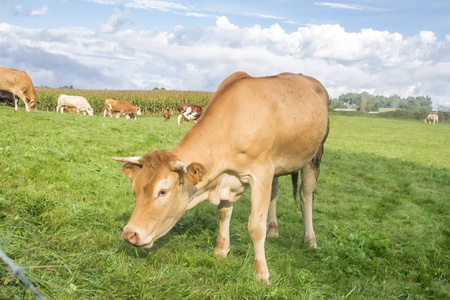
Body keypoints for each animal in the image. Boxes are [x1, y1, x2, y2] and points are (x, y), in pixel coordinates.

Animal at [113, 71, 330, 284]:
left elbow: (255, 226)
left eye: (162, 191)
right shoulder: (233, 176)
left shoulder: (261, 173)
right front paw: (221, 249)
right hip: (278, 166)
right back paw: (274, 229)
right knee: (274, 194)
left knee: (305, 196)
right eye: (134, 190)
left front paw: (262, 273)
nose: (129, 234)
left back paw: (310, 240)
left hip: (314, 155)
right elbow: (224, 213)